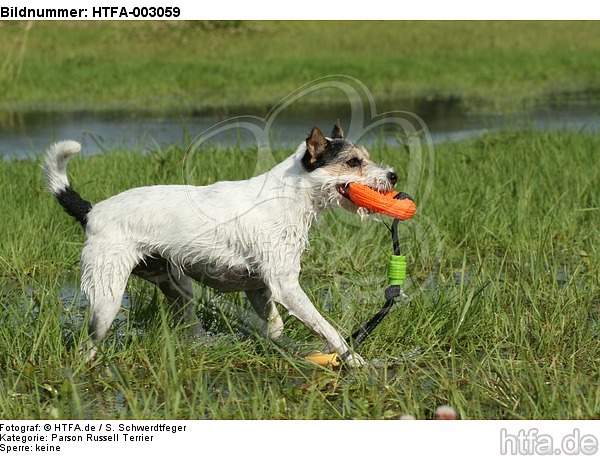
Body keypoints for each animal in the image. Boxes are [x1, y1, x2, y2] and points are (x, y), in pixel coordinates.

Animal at [45, 122, 398, 366]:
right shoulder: (286, 286)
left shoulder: (260, 288)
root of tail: (92, 212)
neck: (290, 195)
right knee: (88, 343)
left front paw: (270, 343)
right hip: (106, 299)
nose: (393, 175)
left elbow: (275, 326)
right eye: (353, 162)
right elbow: (327, 329)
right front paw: (354, 360)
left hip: (176, 286)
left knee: (188, 321)